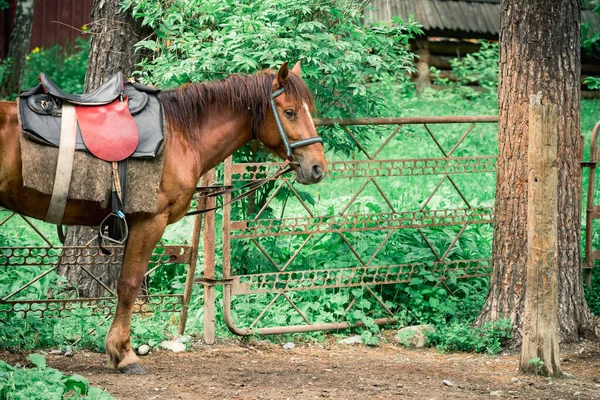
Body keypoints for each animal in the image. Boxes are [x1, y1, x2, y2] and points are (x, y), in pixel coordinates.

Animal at [0, 61, 324, 372]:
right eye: (290, 112)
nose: (318, 167)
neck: (181, 135)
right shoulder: (149, 222)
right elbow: (129, 285)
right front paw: (123, 353)